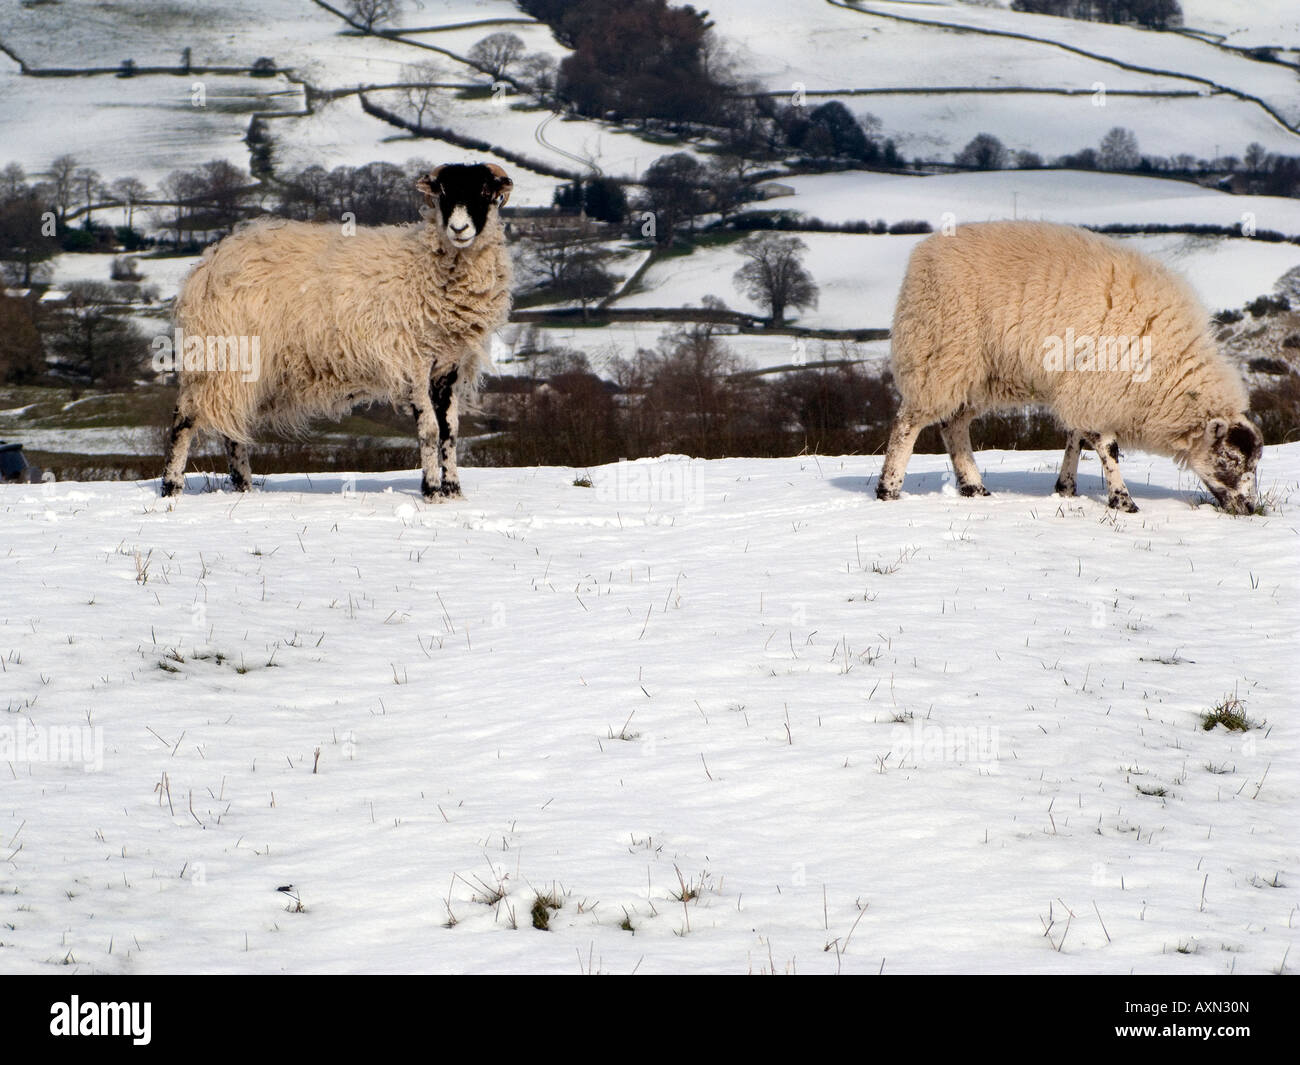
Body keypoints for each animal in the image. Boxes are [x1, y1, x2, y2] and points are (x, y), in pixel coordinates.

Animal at [157, 163, 512, 504]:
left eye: (484, 191)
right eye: (443, 193)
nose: (459, 229)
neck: (423, 264)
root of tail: (207, 263)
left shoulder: (448, 366)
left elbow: (450, 431)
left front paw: (453, 491)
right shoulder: (412, 361)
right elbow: (429, 432)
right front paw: (432, 492)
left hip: (239, 365)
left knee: (231, 425)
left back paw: (244, 487)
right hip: (220, 351)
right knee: (184, 418)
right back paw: (172, 487)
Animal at [873, 221, 1258, 512]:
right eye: (1232, 460)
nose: (1252, 509)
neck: (1170, 370)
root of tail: (924, 252)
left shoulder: (1084, 385)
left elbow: (1078, 437)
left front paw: (1066, 488)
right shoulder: (1098, 382)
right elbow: (1107, 448)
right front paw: (1123, 502)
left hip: (980, 374)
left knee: (954, 425)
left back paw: (974, 487)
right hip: (939, 353)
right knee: (908, 423)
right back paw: (889, 489)